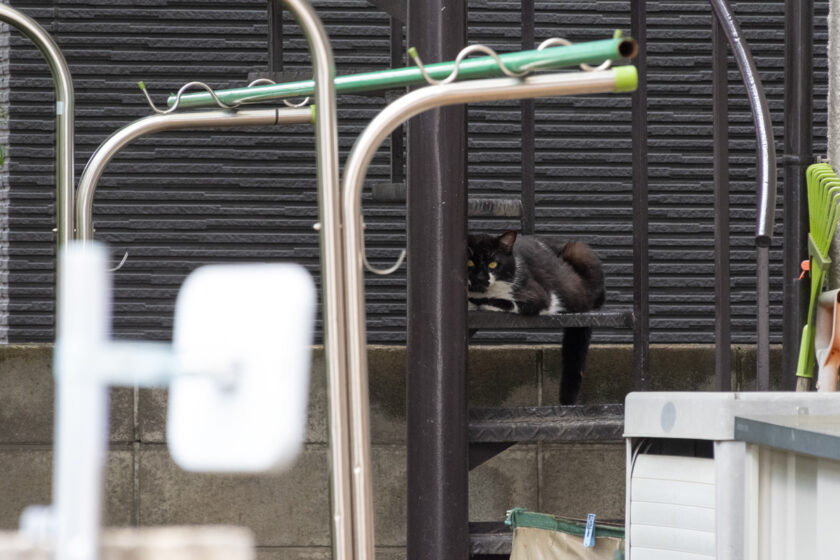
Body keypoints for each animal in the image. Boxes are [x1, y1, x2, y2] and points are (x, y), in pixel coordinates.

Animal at [466, 230, 604, 404]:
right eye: (469, 263)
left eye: (493, 264)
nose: (480, 277)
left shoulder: (540, 296)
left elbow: (499, 301)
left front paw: (477, 302)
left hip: (579, 251)